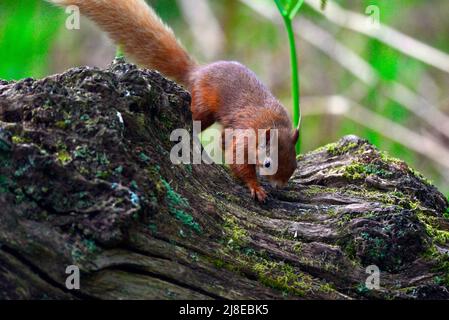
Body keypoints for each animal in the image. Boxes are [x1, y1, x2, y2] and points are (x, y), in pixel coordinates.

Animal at [47, 0, 300, 202]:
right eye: (267, 163)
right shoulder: (246, 137)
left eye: (294, 164)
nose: (279, 185)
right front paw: (256, 188)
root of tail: (197, 73)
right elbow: (238, 162)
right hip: (202, 106)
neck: (273, 123)